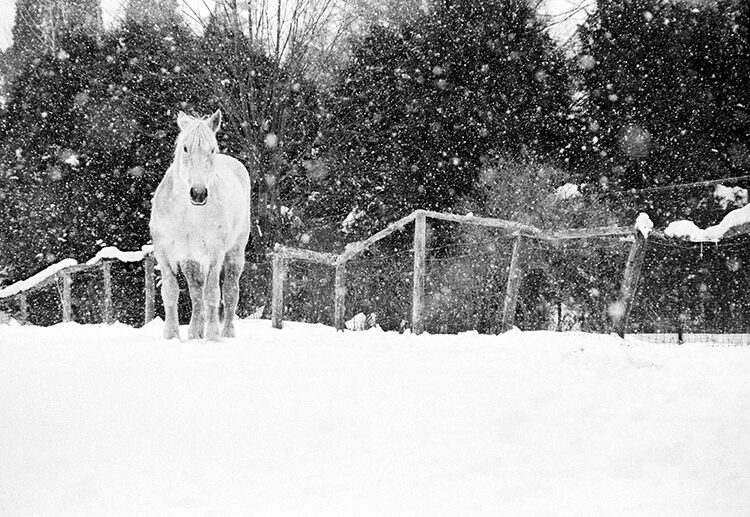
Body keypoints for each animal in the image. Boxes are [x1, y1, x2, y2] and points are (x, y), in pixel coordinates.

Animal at [150, 111, 253, 340]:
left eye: (212, 149)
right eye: (185, 148)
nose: (198, 193)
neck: (188, 213)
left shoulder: (215, 254)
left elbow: (213, 294)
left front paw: (213, 335)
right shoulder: (165, 254)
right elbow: (171, 293)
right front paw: (171, 336)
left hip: (234, 253)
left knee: (230, 292)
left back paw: (226, 333)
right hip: (191, 260)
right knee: (196, 292)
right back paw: (194, 332)